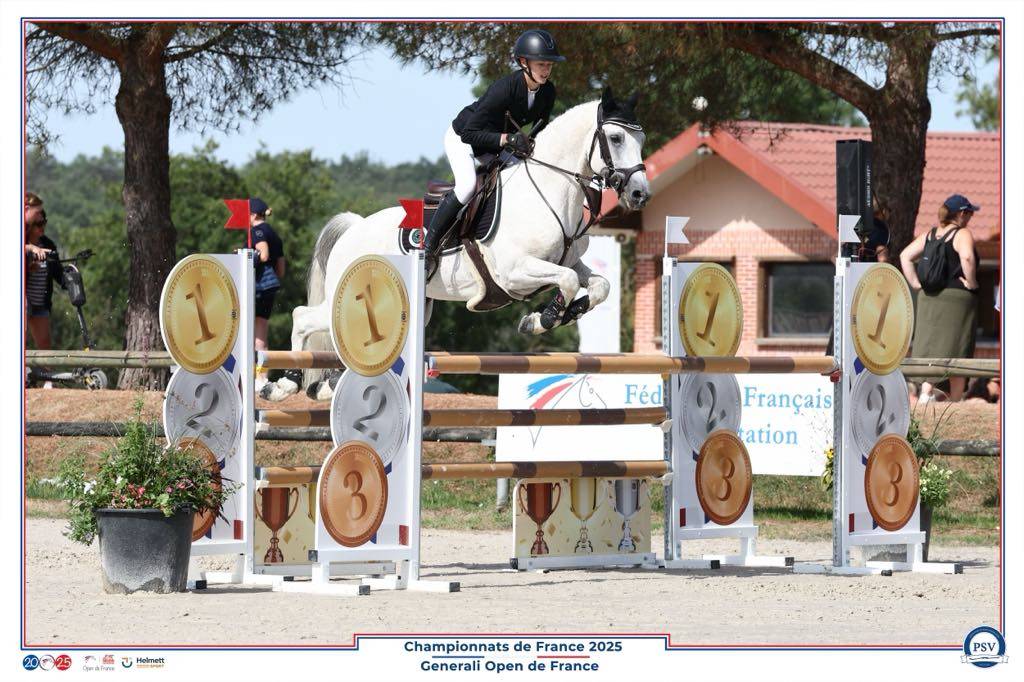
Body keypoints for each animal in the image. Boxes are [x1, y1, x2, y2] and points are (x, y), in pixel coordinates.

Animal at [261, 88, 650, 402]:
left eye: (641, 139)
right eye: (616, 137)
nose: (639, 194)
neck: (548, 190)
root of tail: (354, 228)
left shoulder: (569, 262)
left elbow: (598, 285)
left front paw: (561, 313)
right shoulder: (513, 273)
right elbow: (566, 282)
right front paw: (541, 320)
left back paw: (325, 386)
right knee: (302, 318)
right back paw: (285, 384)